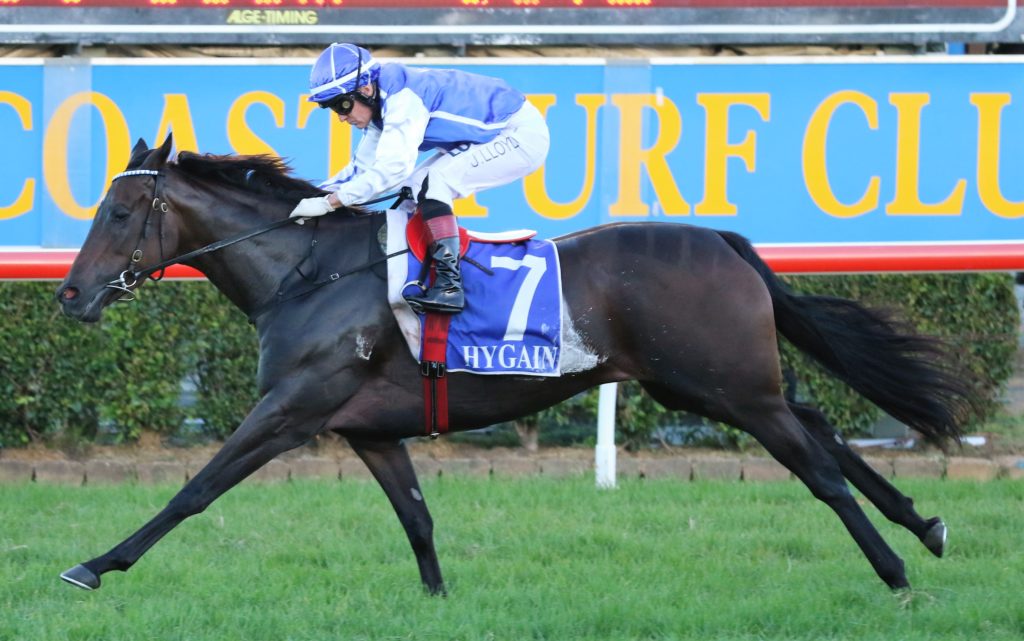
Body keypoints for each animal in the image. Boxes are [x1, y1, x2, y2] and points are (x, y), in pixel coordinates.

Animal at [55, 134, 980, 595]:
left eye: (120, 211)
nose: (68, 296)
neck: (308, 272)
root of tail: (722, 239)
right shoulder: (366, 429)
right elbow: (417, 517)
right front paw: (437, 600)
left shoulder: (290, 409)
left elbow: (193, 490)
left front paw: (95, 564)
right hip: (708, 384)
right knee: (822, 424)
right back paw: (926, 525)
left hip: (731, 388)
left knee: (818, 468)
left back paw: (896, 570)